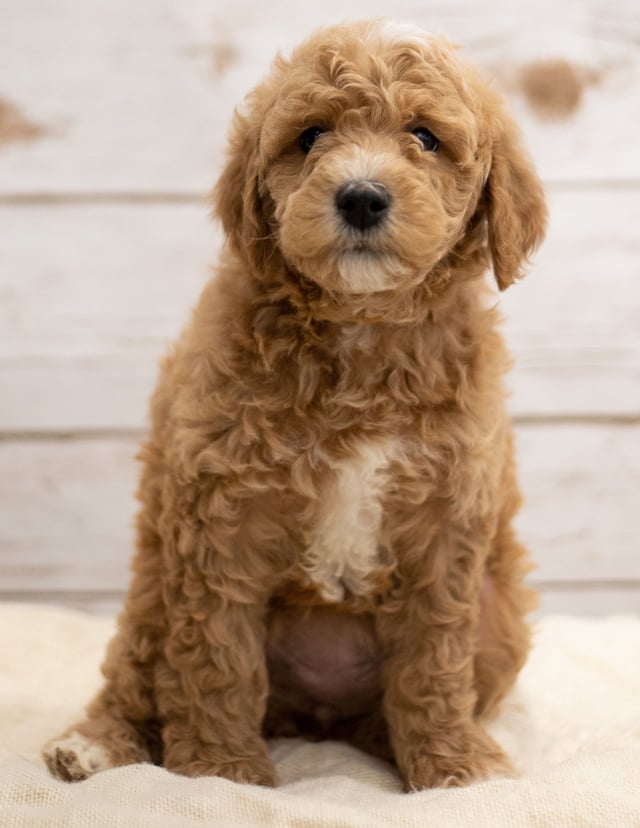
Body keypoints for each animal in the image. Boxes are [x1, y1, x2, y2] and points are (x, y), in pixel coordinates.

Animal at [43, 22, 544, 792]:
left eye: (425, 137)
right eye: (310, 136)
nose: (361, 196)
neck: (362, 329)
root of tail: (317, 720)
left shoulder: (448, 516)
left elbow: (434, 659)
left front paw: (452, 766)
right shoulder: (220, 510)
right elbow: (215, 653)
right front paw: (220, 769)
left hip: (503, 617)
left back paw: (394, 740)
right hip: (153, 587)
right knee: (134, 671)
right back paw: (94, 744)